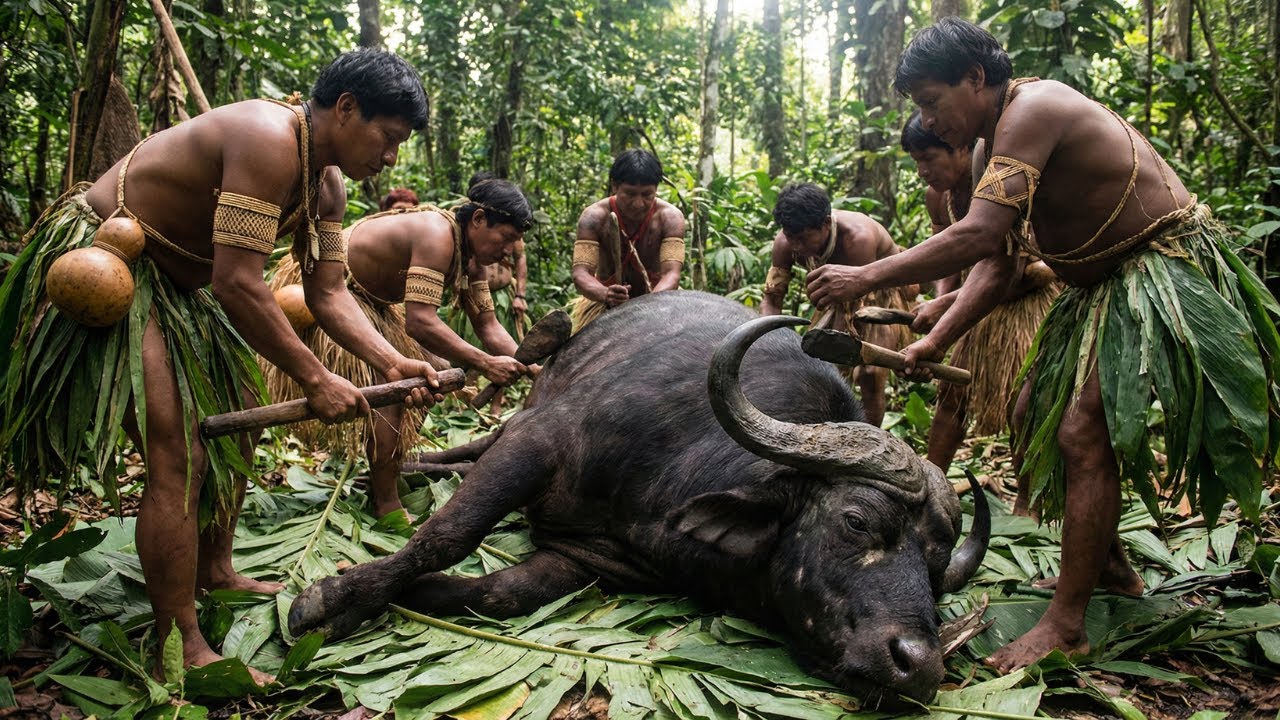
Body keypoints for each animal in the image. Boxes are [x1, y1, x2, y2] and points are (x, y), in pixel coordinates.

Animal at [289, 291, 989, 704]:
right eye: (858, 522)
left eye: (936, 571)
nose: (920, 666)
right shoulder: (539, 442)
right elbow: (447, 534)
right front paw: (332, 599)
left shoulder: (594, 560)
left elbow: (499, 593)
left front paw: (414, 597)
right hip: (523, 412)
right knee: (476, 446)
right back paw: (396, 469)